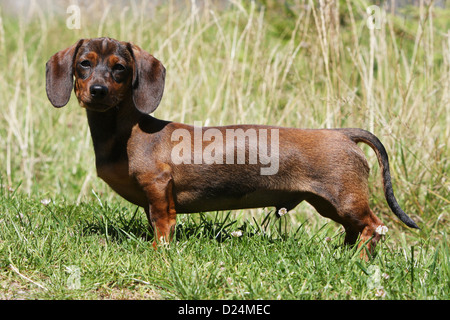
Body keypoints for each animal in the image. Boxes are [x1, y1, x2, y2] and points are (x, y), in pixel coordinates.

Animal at [45, 38, 418, 258]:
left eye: (120, 68)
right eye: (84, 63)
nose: (97, 91)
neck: (126, 133)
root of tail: (343, 134)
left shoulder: (158, 188)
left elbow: (162, 222)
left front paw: (158, 251)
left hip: (345, 199)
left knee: (373, 227)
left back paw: (358, 258)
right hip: (329, 203)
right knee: (354, 230)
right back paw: (345, 255)